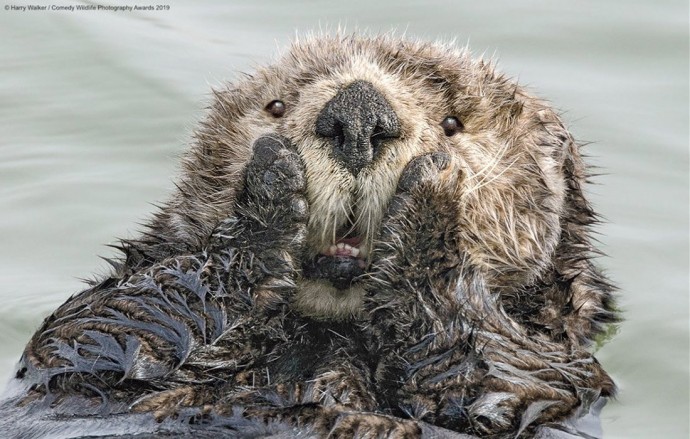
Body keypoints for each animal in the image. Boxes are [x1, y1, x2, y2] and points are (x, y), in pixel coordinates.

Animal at [0, 35, 616, 439]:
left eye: (453, 124)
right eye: (276, 106)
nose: (359, 114)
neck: (326, 335)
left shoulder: (556, 378)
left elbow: (495, 378)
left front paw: (432, 194)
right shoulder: (73, 364)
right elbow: (95, 330)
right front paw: (271, 184)